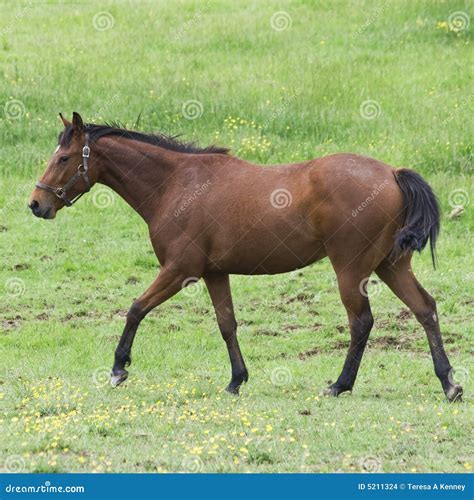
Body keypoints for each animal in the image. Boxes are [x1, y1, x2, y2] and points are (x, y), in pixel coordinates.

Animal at [27, 113, 462, 402]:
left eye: (63, 158)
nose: (35, 204)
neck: (175, 185)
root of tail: (391, 173)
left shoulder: (179, 271)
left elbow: (135, 308)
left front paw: (119, 368)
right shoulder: (214, 274)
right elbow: (227, 325)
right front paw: (237, 379)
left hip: (350, 269)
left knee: (361, 322)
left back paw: (341, 384)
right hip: (390, 265)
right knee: (425, 308)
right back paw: (449, 382)